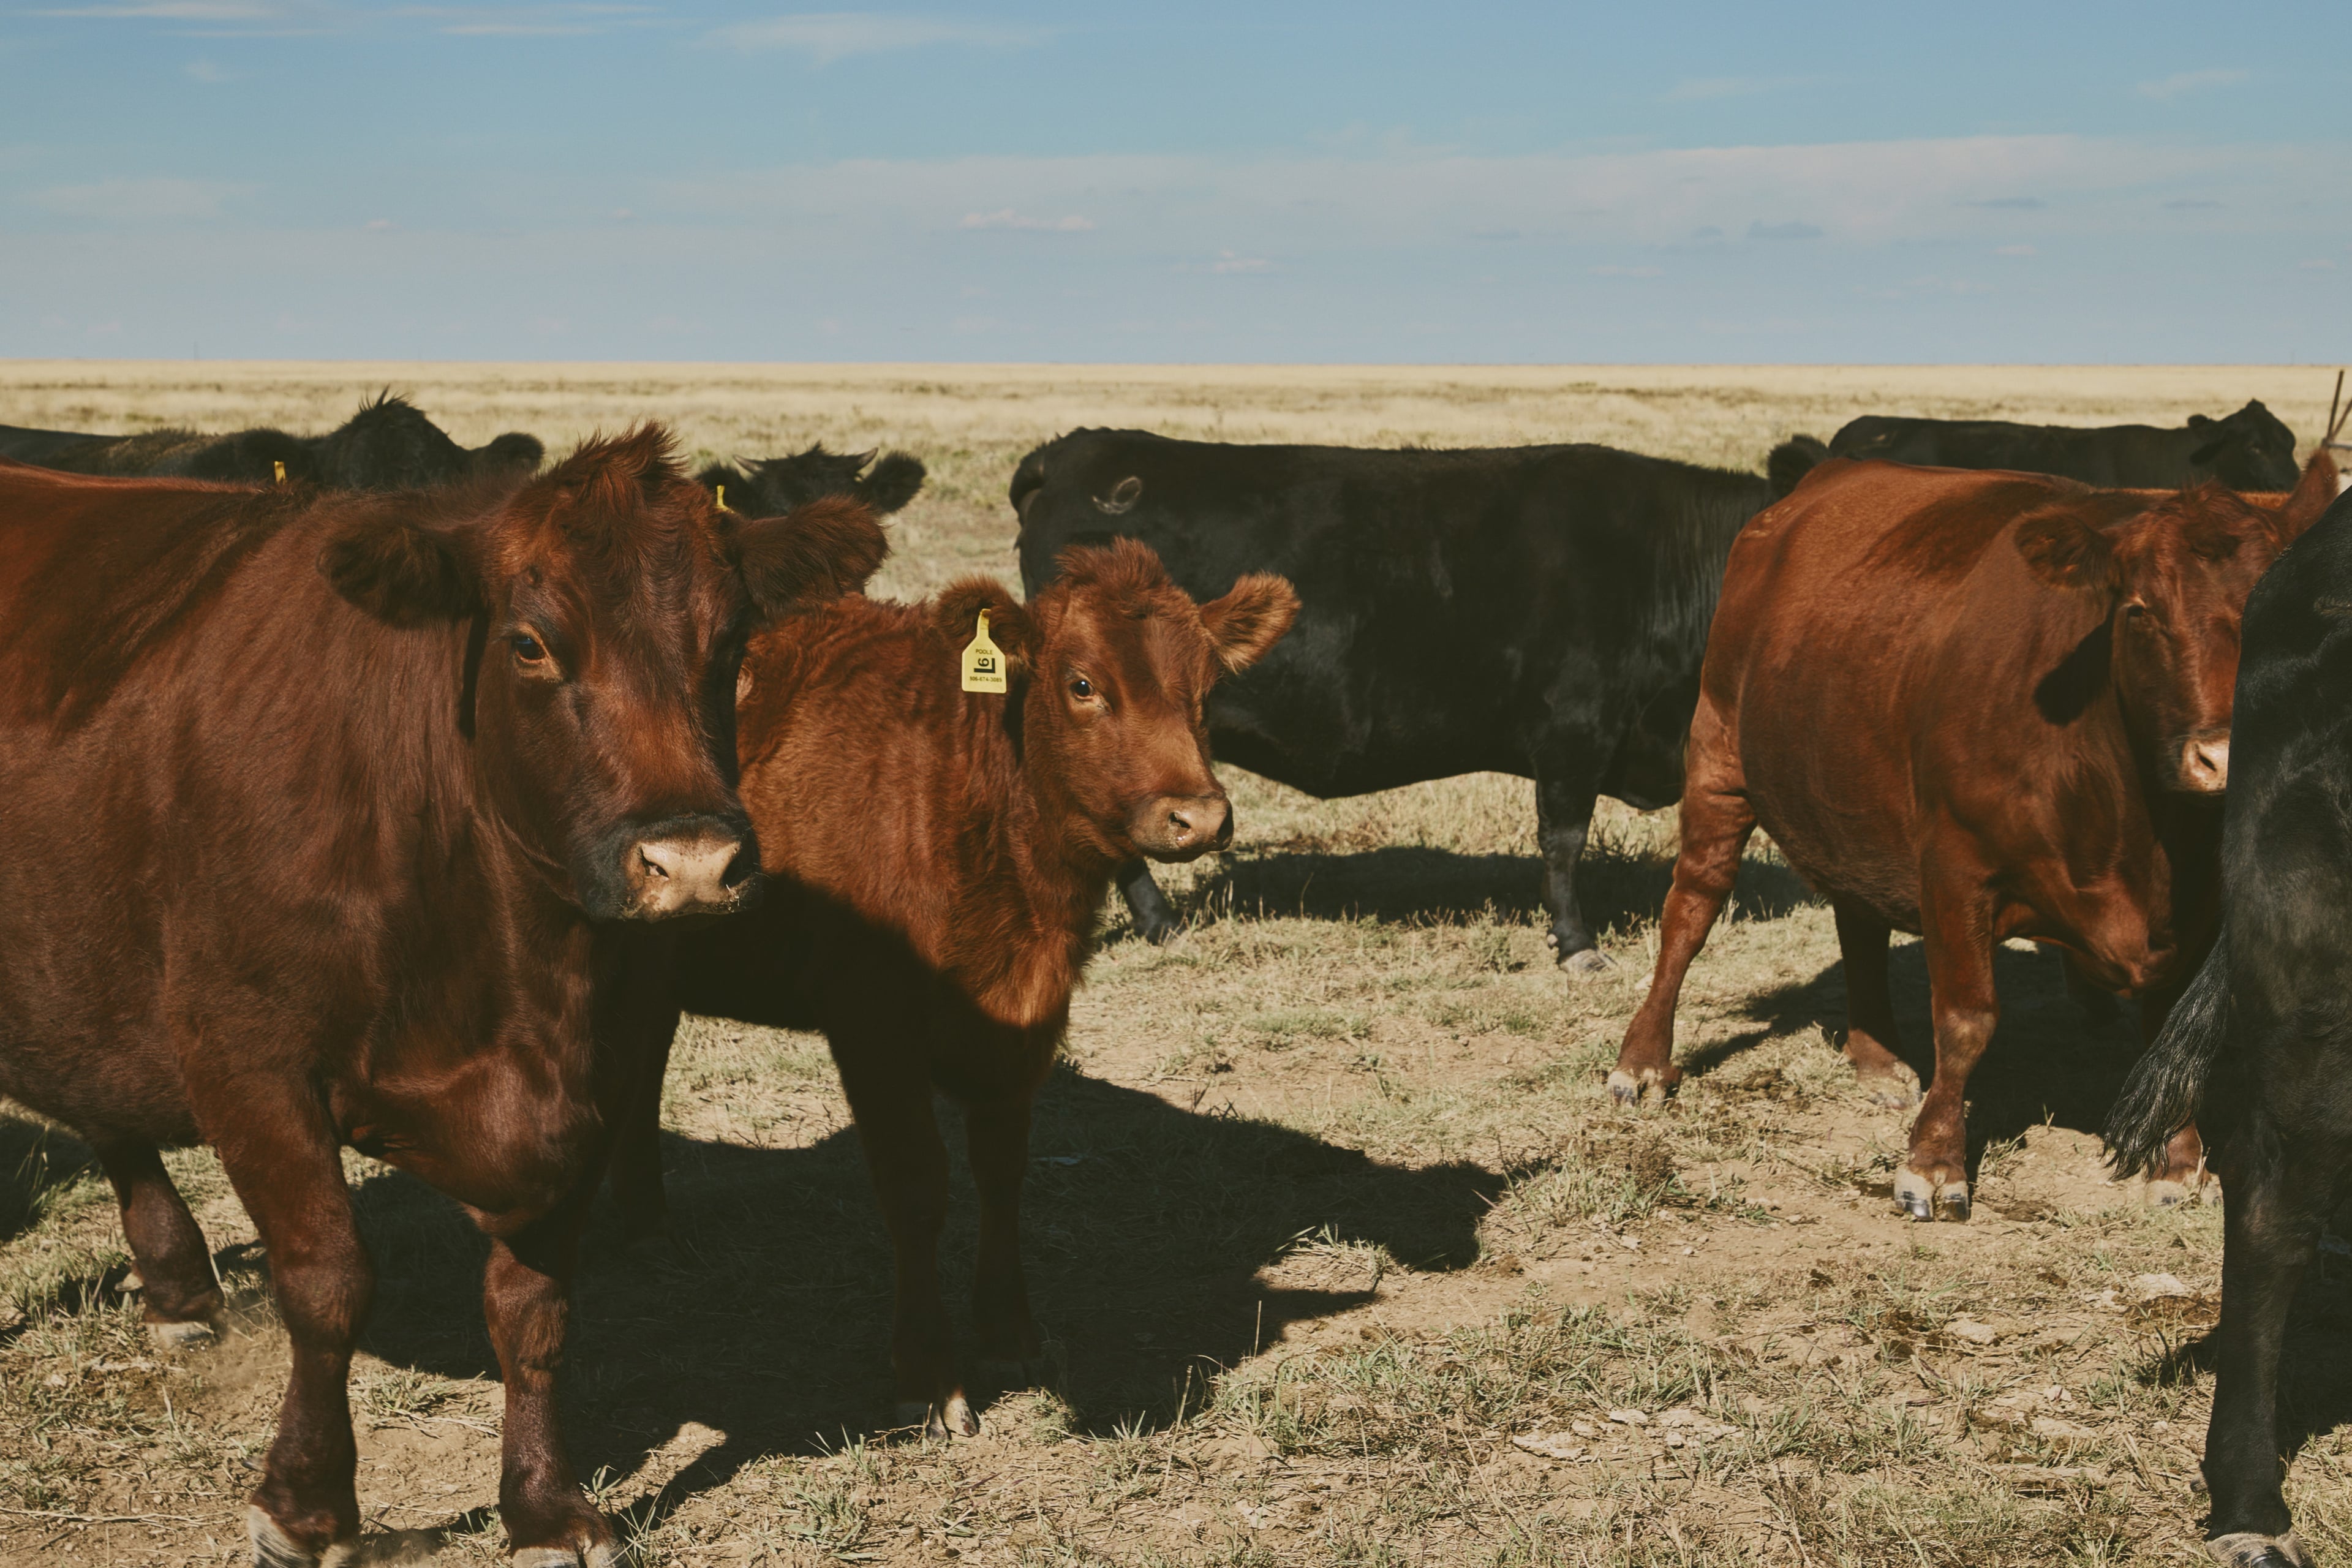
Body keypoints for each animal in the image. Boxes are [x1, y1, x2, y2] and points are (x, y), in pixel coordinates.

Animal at [0, 436, 887, 1566]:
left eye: (732, 642)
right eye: (531, 644)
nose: (691, 861)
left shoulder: (602, 1078)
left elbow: (535, 1311)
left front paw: (544, 1505)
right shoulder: (247, 1061)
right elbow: (328, 1283)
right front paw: (306, 1505)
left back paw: (178, 1289)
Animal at [605, 538, 1298, 1436]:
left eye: (1208, 688)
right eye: (1082, 683)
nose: (1198, 818)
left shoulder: (1027, 1019)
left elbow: (1002, 1172)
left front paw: (1011, 1334)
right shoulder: (872, 1020)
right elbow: (917, 1186)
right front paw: (930, 1375)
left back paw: (645, 1228)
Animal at [1611, 451, 2340, 1221]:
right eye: (2139, 610)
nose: (2225, 757)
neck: (2140, 831)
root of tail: (1826, 478)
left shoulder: (2201, 902)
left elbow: (2174, 1020)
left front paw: (2175, 1158)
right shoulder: (1956, 865)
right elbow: (1966, 1021)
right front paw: (1933, 1163)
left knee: (1857, 920)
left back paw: (1876, 1060)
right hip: (1718, 754)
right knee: (1691, 907)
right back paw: (1643, 1061)